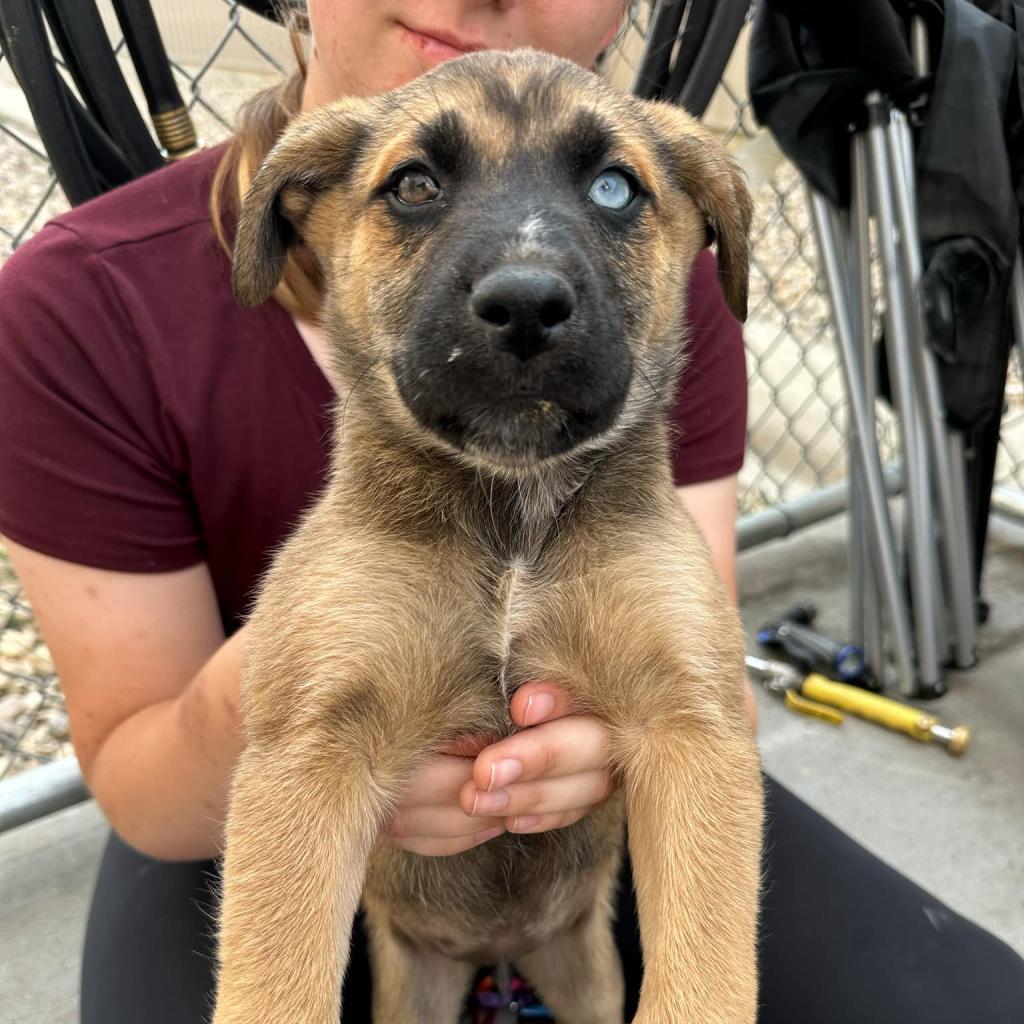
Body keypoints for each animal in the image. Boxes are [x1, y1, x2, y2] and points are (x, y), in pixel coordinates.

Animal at [214, 49, 761, 1024]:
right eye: (415, 185)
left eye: (615, 187)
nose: (526, 303)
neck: (513, 524)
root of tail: (497, 954)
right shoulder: (307, 752)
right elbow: (272, 980)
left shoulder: (693, 729)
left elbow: (705, 975)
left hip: (584, 973)